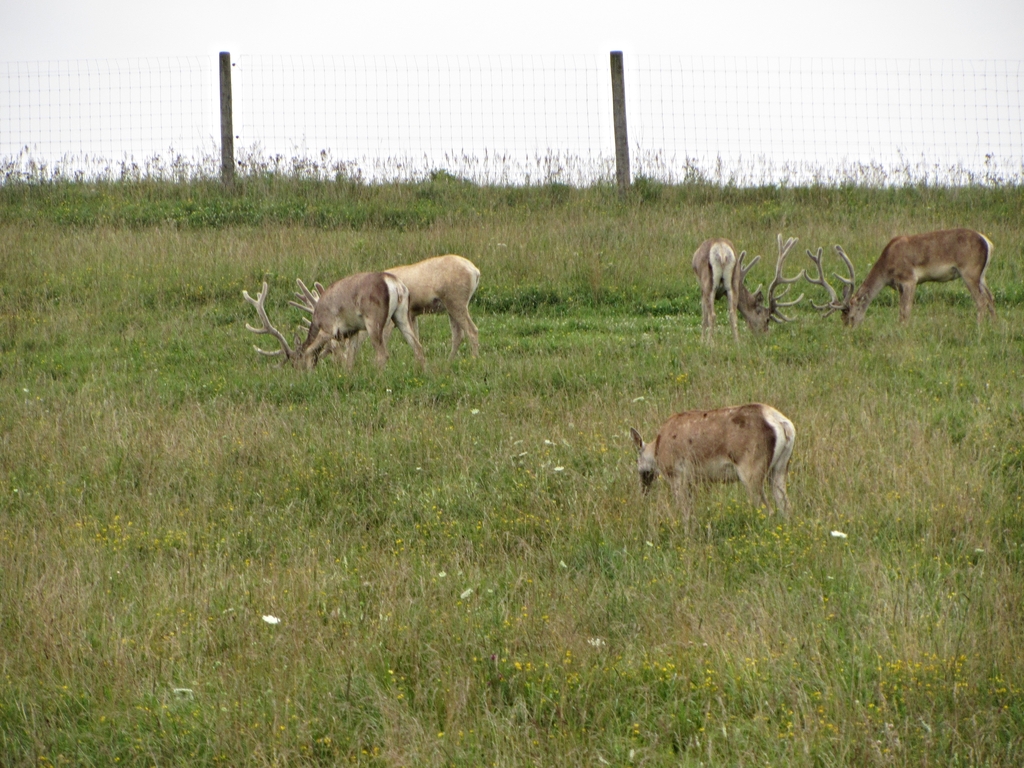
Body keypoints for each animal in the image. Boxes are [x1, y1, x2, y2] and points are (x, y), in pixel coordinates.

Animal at [242, 272, 425, 371]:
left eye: (294, 363)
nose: (299, 374)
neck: (316, 319)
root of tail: (396, 284)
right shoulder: (353, 330)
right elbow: (350, 359)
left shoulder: (328, 328)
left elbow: (310, 351)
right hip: (402, 314)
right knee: (417, 346)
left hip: (374, 319)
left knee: (383, 354)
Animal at [630, 403, 796, 520]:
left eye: (637, 460)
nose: (643, 490)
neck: (657, 449)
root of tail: (784, 425)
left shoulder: (677, 476)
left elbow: (683, 510)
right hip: (780, 468)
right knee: (785, 507)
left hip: (751, 471)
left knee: (766, 508)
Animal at [803, 228, 996, 327]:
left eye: (849, 316)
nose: (848, 331)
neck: (887, 267)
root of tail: (987, 241)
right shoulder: (899, 286)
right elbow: (900, 311)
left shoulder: (910, 279)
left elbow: (905, 311)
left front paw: (903, 330)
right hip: (982, 275)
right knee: (990, 298)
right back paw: (993, 326)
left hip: (969, 271)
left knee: (981, 300)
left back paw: (979, 328)